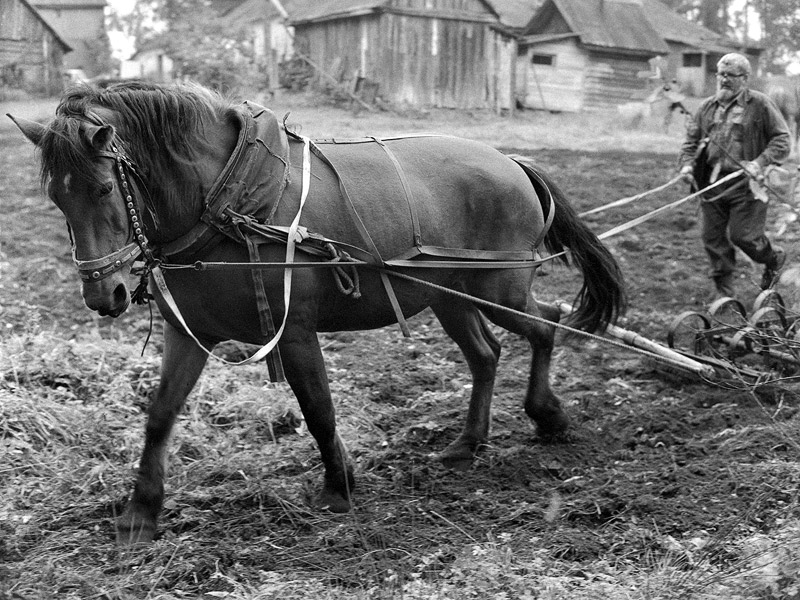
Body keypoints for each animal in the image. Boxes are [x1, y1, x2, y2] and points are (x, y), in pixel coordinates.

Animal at [9, 82, 628, 548]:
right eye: (58, 199)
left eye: (104, 188)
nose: (104, 296)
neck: (228, 203)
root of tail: (508, 160)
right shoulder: (189, 334)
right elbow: (160, 415)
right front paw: (140, 513)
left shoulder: (296, 330)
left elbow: (318, 409)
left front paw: (339, 487)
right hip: (450, 297)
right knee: (487, 354)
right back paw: (467, 444)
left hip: (500, 286)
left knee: (546, 325)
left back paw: (547, 415)